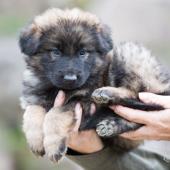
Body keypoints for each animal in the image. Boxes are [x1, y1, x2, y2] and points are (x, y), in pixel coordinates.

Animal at [18, 7, 170, 162]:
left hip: (128, 53)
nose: (70, 78)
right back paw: (111, 125)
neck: (54, 87)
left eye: (82, 52)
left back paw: (107, 94)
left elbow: (55, 114)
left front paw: (54, 146)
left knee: (140, 94)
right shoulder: (34, 97)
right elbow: (31, 111)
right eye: (56, 52)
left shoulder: (82, 101)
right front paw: (35, 141)